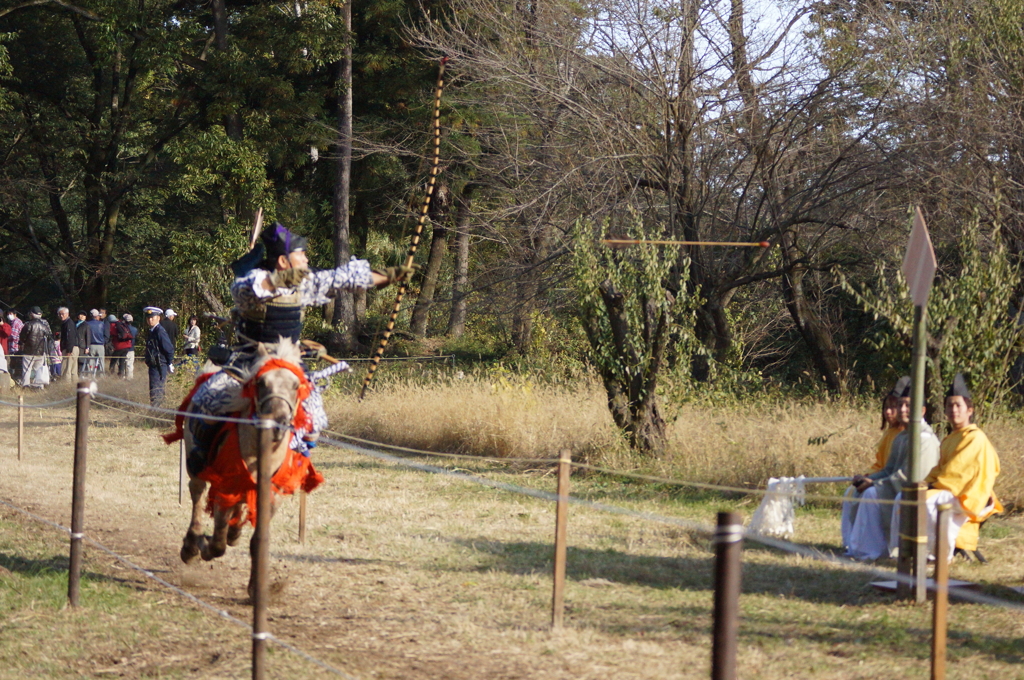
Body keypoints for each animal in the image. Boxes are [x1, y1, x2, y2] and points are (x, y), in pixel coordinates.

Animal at [172, 340, 321, 602]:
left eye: (296, 385)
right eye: (261, 383)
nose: (278, 422)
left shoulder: (271, 496)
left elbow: (257, 541)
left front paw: (256, 589)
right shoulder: (226, 486)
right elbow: (217, 540)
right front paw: (205, 546)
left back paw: (233, 531)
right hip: (195, 462)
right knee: (197, 493)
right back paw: (192, 544)